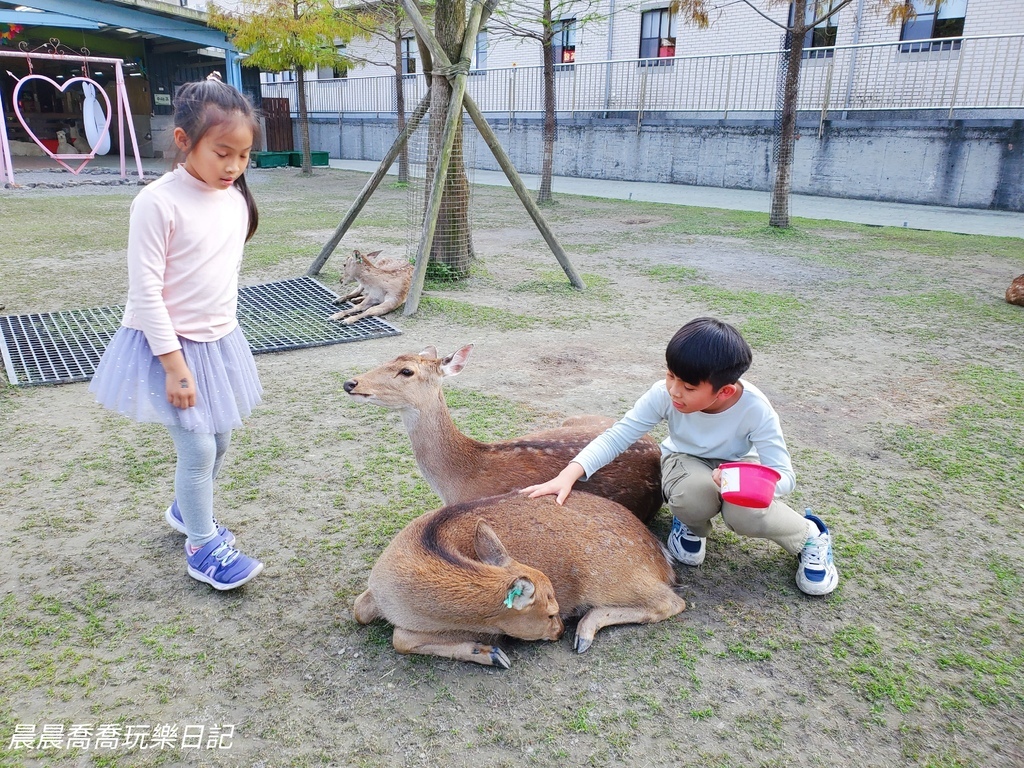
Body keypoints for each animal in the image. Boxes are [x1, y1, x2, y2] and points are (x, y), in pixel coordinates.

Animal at [354, 493, 688, 667]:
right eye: (550, 613)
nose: (560, 630)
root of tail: (660, 556)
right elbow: (361, 611)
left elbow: (399, 638)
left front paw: (493, 654)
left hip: (611, 578)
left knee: (671, 601)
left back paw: (584, 631)